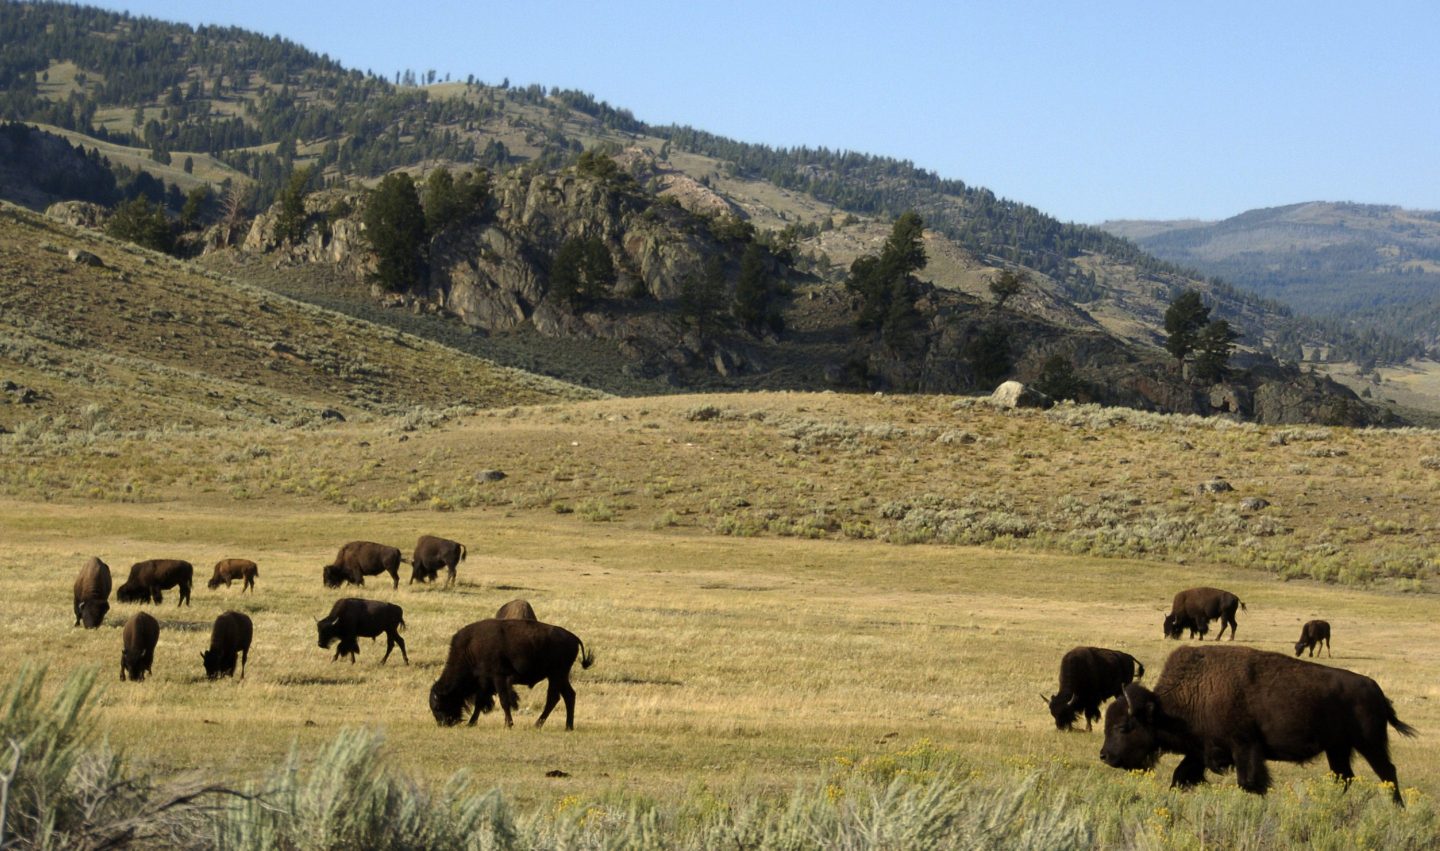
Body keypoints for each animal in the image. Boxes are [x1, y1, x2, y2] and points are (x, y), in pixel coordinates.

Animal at [429, 618, 595, 730]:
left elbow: (504, 701)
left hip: (556, 675)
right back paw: (568, 726)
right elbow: (480, 702)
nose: (443, 724)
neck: (470, 647)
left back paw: (537, 725)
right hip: (560, 676)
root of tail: (574, 638)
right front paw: (471, 723)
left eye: (437, 706)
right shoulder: (485, 682)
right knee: (569, 696)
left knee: (553, 698)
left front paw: (508, 724)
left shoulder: (498, 678)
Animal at [1100, 645, 1417, 805]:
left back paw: (1397, 808)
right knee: (1345, 776)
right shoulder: (1201, 750)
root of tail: (1375, 689)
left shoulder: (1245, 747)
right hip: (1337, 748)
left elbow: (1250, 782)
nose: (1105, 756)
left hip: (1370, 743)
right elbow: (1181, 776)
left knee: (1387, 772)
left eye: (1124, 727)